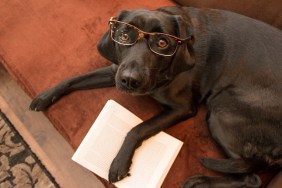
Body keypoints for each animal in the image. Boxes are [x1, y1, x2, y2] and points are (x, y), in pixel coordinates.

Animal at [29, 6, 282, 187]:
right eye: (124, 36)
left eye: (162, 42)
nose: (130, 80)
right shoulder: (115, 70)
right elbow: (72, 79)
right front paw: (45, 96)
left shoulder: (182, 108)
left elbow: (138, 128)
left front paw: (120, 161)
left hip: (222, 110)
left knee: (252, 177)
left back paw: (199, 181)